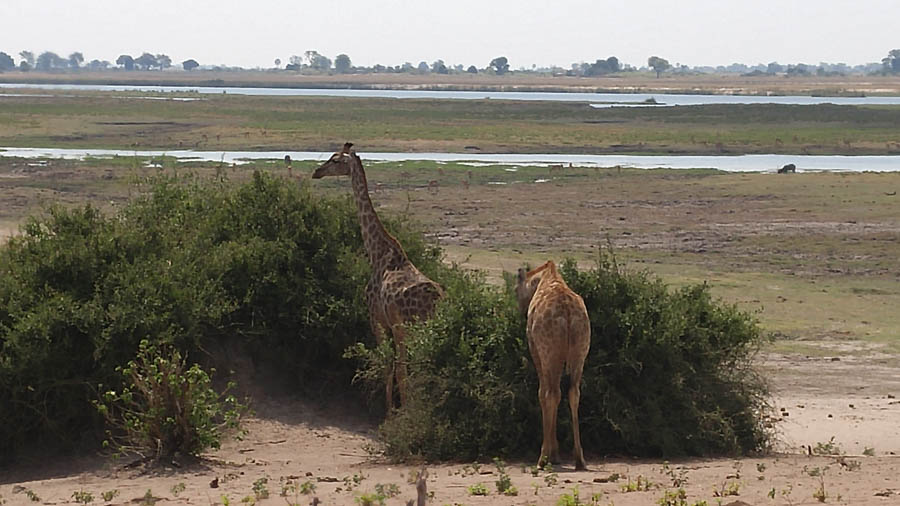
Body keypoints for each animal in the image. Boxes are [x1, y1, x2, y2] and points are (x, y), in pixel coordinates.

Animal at [312, 142, 446, 412]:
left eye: (334, 160)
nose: (316, 172)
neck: (376, 252)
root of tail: (439, 302)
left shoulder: (378, 319)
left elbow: (389, 366)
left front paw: (390, 413)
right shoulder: (389, 324)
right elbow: (396, 368)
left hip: (411, 328)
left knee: (412, 369)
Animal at [512, 260, 592, 470]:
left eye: (515, 290)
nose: (519, 310)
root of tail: (568, 314)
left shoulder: (535, 348)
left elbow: (542, 393)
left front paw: (551, 455)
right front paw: (556, 454)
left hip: (550, 351)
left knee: (552, 392)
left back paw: (542, 459)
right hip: (581, 350)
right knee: (573, 392)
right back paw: (579, 459)